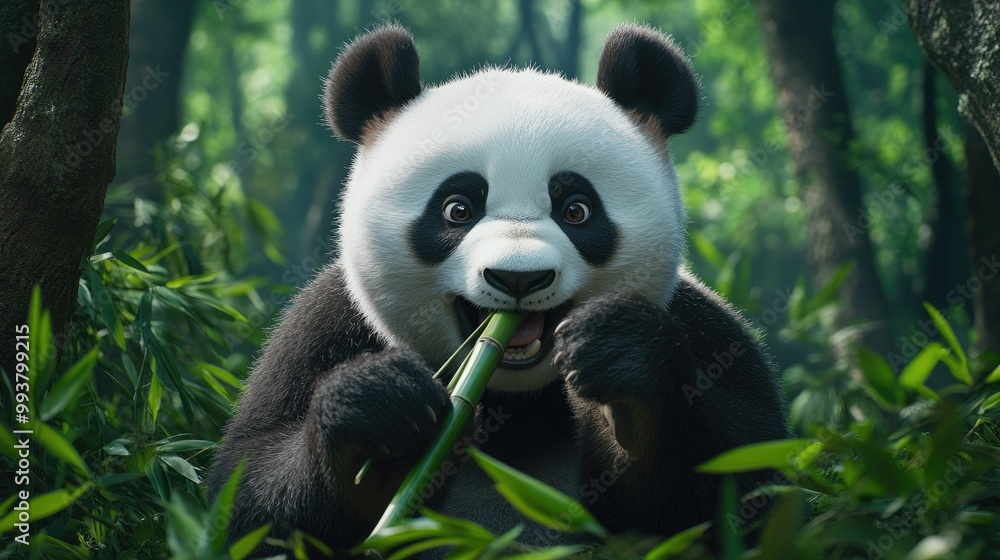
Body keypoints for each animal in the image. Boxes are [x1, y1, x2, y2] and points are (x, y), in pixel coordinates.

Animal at [207, 23, 788, 557]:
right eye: (457, 209)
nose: (518, 278)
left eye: (576, 210)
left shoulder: (705, 329)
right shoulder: (321, 330)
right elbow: (250, 497)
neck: (511, 402)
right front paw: (378, 419)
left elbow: (741, 480)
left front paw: (623, 373)